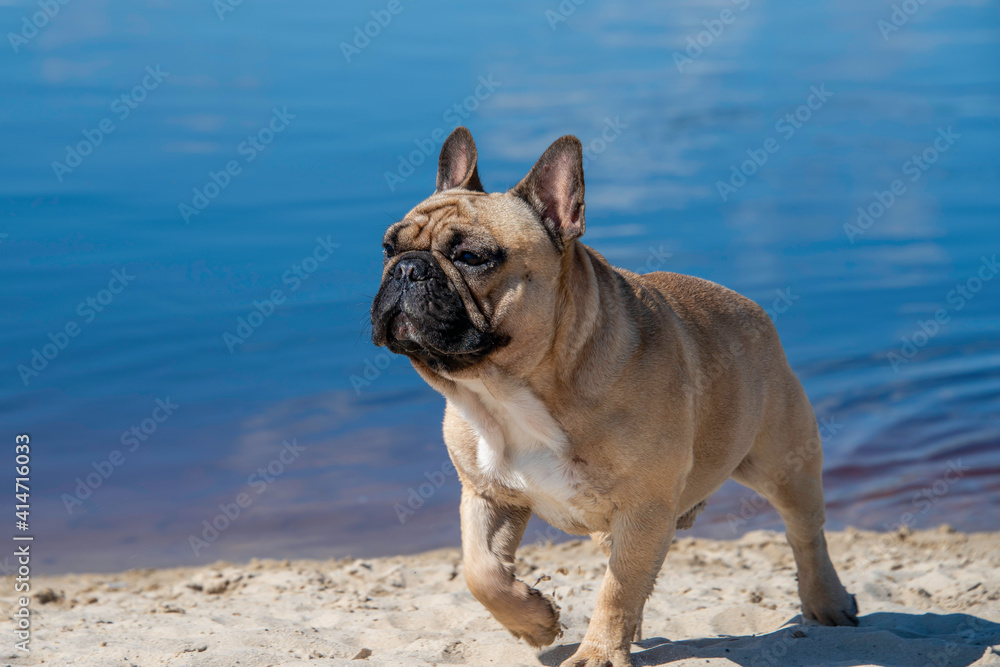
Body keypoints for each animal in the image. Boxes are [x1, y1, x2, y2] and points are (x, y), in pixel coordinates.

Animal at [372, 128, 856, 664]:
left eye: (472, 257)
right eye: (387, 247)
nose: (406, 269)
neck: (508, 394)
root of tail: (751, 309)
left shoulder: (643, 509)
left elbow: (617, 590)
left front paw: (599, 653)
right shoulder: (487, 494)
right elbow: (482, 572)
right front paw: (535, 623)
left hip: (784, 466)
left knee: (805, 535)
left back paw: (827, 603)